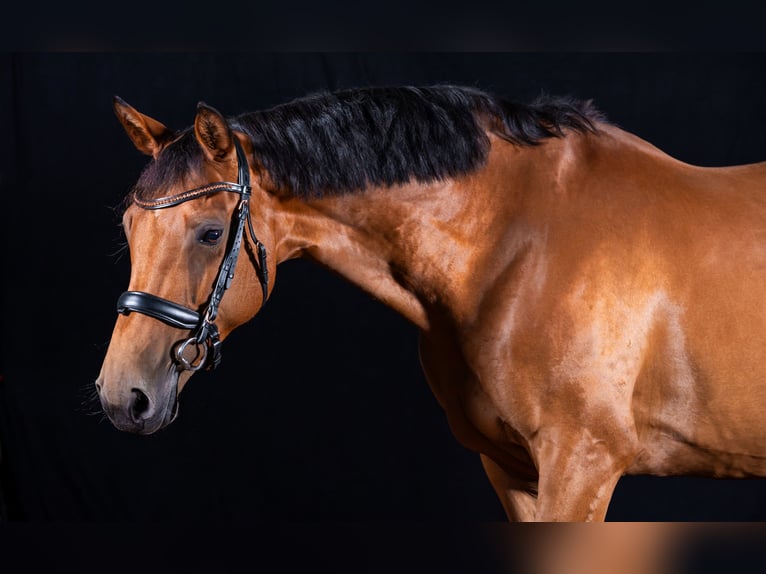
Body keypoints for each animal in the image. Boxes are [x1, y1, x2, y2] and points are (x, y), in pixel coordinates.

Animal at [96, 84, 766, 520]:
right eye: (128, 226)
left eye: (211, 233)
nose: (123, 396)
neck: (518, 243)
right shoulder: (514, 470)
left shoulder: (583, 462)